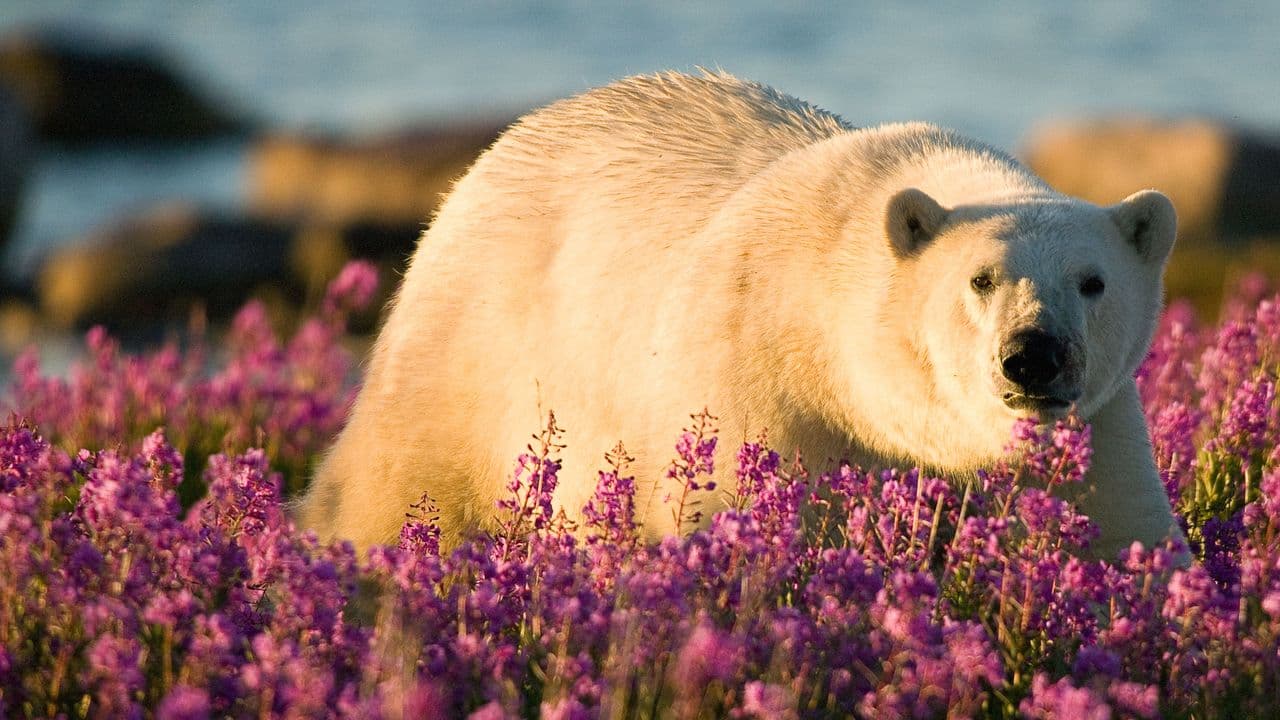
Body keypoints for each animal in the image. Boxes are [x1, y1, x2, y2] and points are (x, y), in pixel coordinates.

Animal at [294, 71, 1184, 562]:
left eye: (1093, 281)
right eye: (980, 278)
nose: (1033, 354)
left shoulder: (1092, 428)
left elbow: (1123, 533)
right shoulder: (762, 370)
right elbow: (729, 512)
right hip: (469, 354)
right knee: (394, 489)